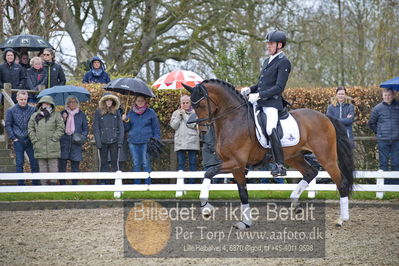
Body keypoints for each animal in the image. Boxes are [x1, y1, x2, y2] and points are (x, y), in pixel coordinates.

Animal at [183, 78, 354, 229]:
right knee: (311, 172)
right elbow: (243, 193)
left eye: (202, 104)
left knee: (341, 183)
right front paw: (245, 223)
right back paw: (295, 202)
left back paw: (342, 219)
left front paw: (206, 207)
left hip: (326, 157)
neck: (233, 120)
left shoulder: (236, 162)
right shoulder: (237, 167)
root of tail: (325, 117)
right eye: (192, 105)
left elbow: (209, 172)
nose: (202, 133)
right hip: (294, 157)